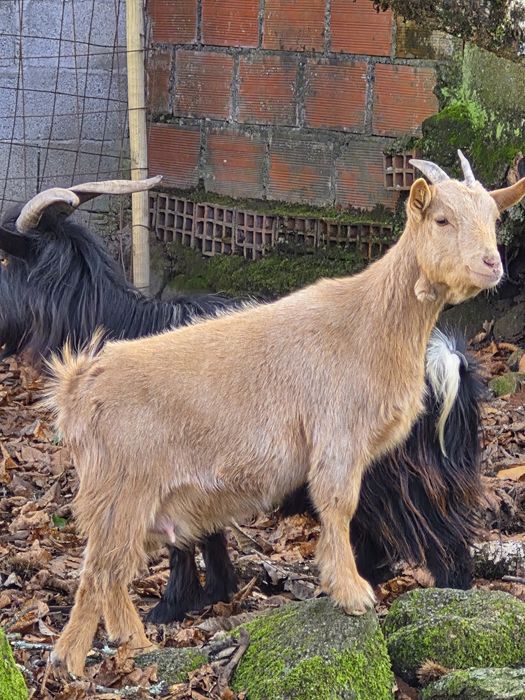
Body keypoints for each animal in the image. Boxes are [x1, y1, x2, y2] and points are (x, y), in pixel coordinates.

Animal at [45, 151, 525, 676]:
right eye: (442, 219)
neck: (371, 321)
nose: (492, 263)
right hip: (122, 487)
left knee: (112, 570)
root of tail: (78, 385)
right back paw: (70, 660)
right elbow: (338, 505)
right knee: (98, 570)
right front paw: (352, 594)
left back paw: (134, 643)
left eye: (493, 218)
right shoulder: (337, 434)